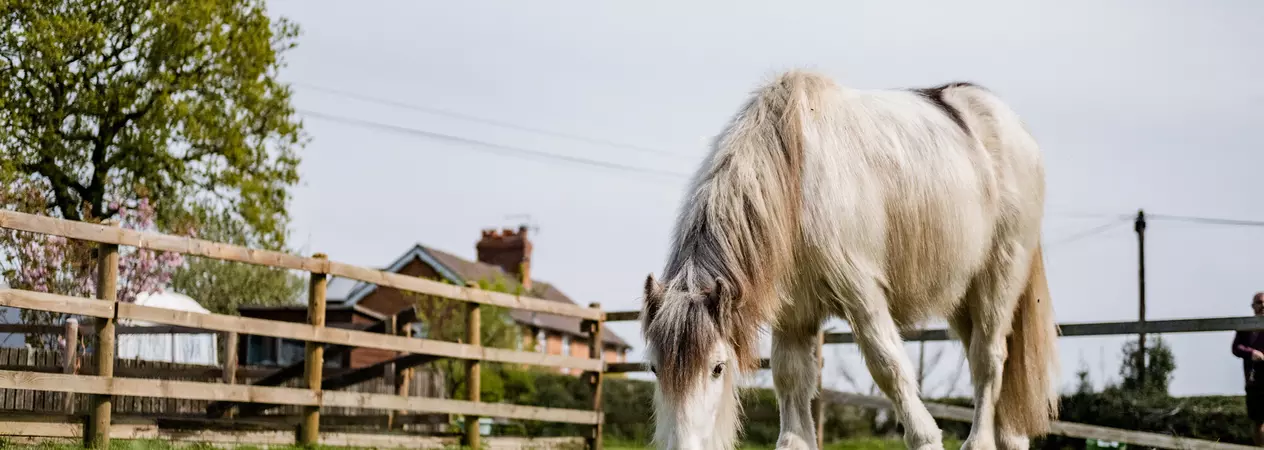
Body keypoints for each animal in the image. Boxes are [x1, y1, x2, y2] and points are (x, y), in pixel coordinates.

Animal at [639, 70, 1058, 450]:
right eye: (654, 367)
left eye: (717, 368)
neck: (796, 181)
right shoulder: (794, 315)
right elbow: (791, 379)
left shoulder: (862, 292)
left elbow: (889, 366)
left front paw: (924, 436)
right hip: (961, 296)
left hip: (998, 278)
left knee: (988, 358)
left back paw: (979, 440)